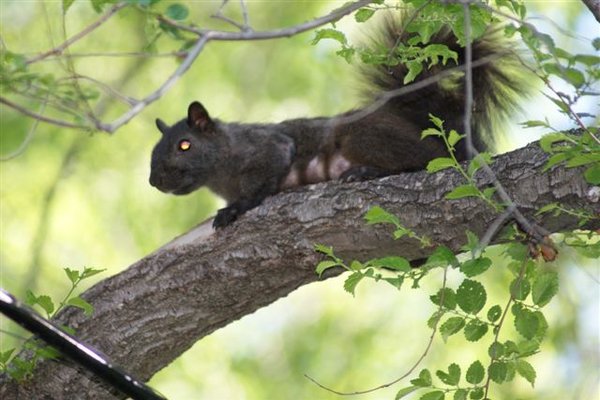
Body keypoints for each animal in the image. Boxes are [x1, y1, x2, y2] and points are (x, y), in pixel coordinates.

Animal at [151, 19, 524, 228]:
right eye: (154, 153)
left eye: (184, 144)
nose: (155, 181)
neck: (220, 170)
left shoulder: (264, 145)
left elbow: (263, 179)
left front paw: (235, 209)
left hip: (360, 135)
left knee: (424, 159)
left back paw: (366, 171)